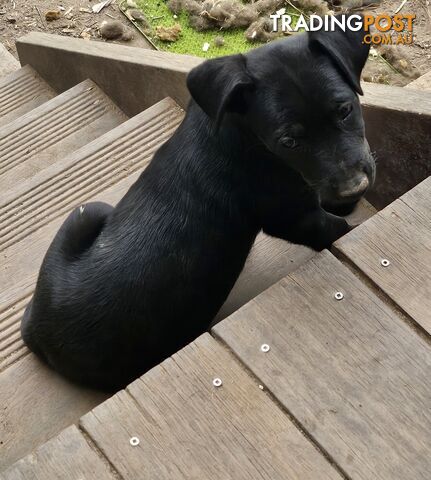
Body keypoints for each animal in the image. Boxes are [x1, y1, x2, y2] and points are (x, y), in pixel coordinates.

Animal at [22, 20, 376, 392]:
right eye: (289, 141)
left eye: (345, 110)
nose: (355, 187)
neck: (240, 132)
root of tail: (35, 331)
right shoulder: (291, 216)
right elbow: (333, 228)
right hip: (89, 210)